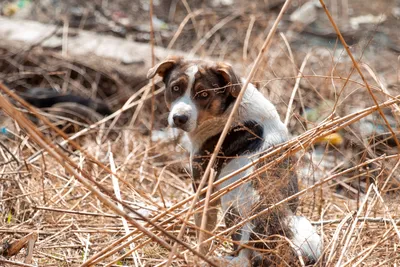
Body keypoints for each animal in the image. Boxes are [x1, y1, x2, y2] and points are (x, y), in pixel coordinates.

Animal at [147, 56, 322, 266]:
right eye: (175, 88)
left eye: (204, 94)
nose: (179, 118)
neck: (229, 107)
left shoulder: (204, 190)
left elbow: (203, 234)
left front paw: (198, 254)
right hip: (302, 226)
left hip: (235, 207)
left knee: (244, 258)